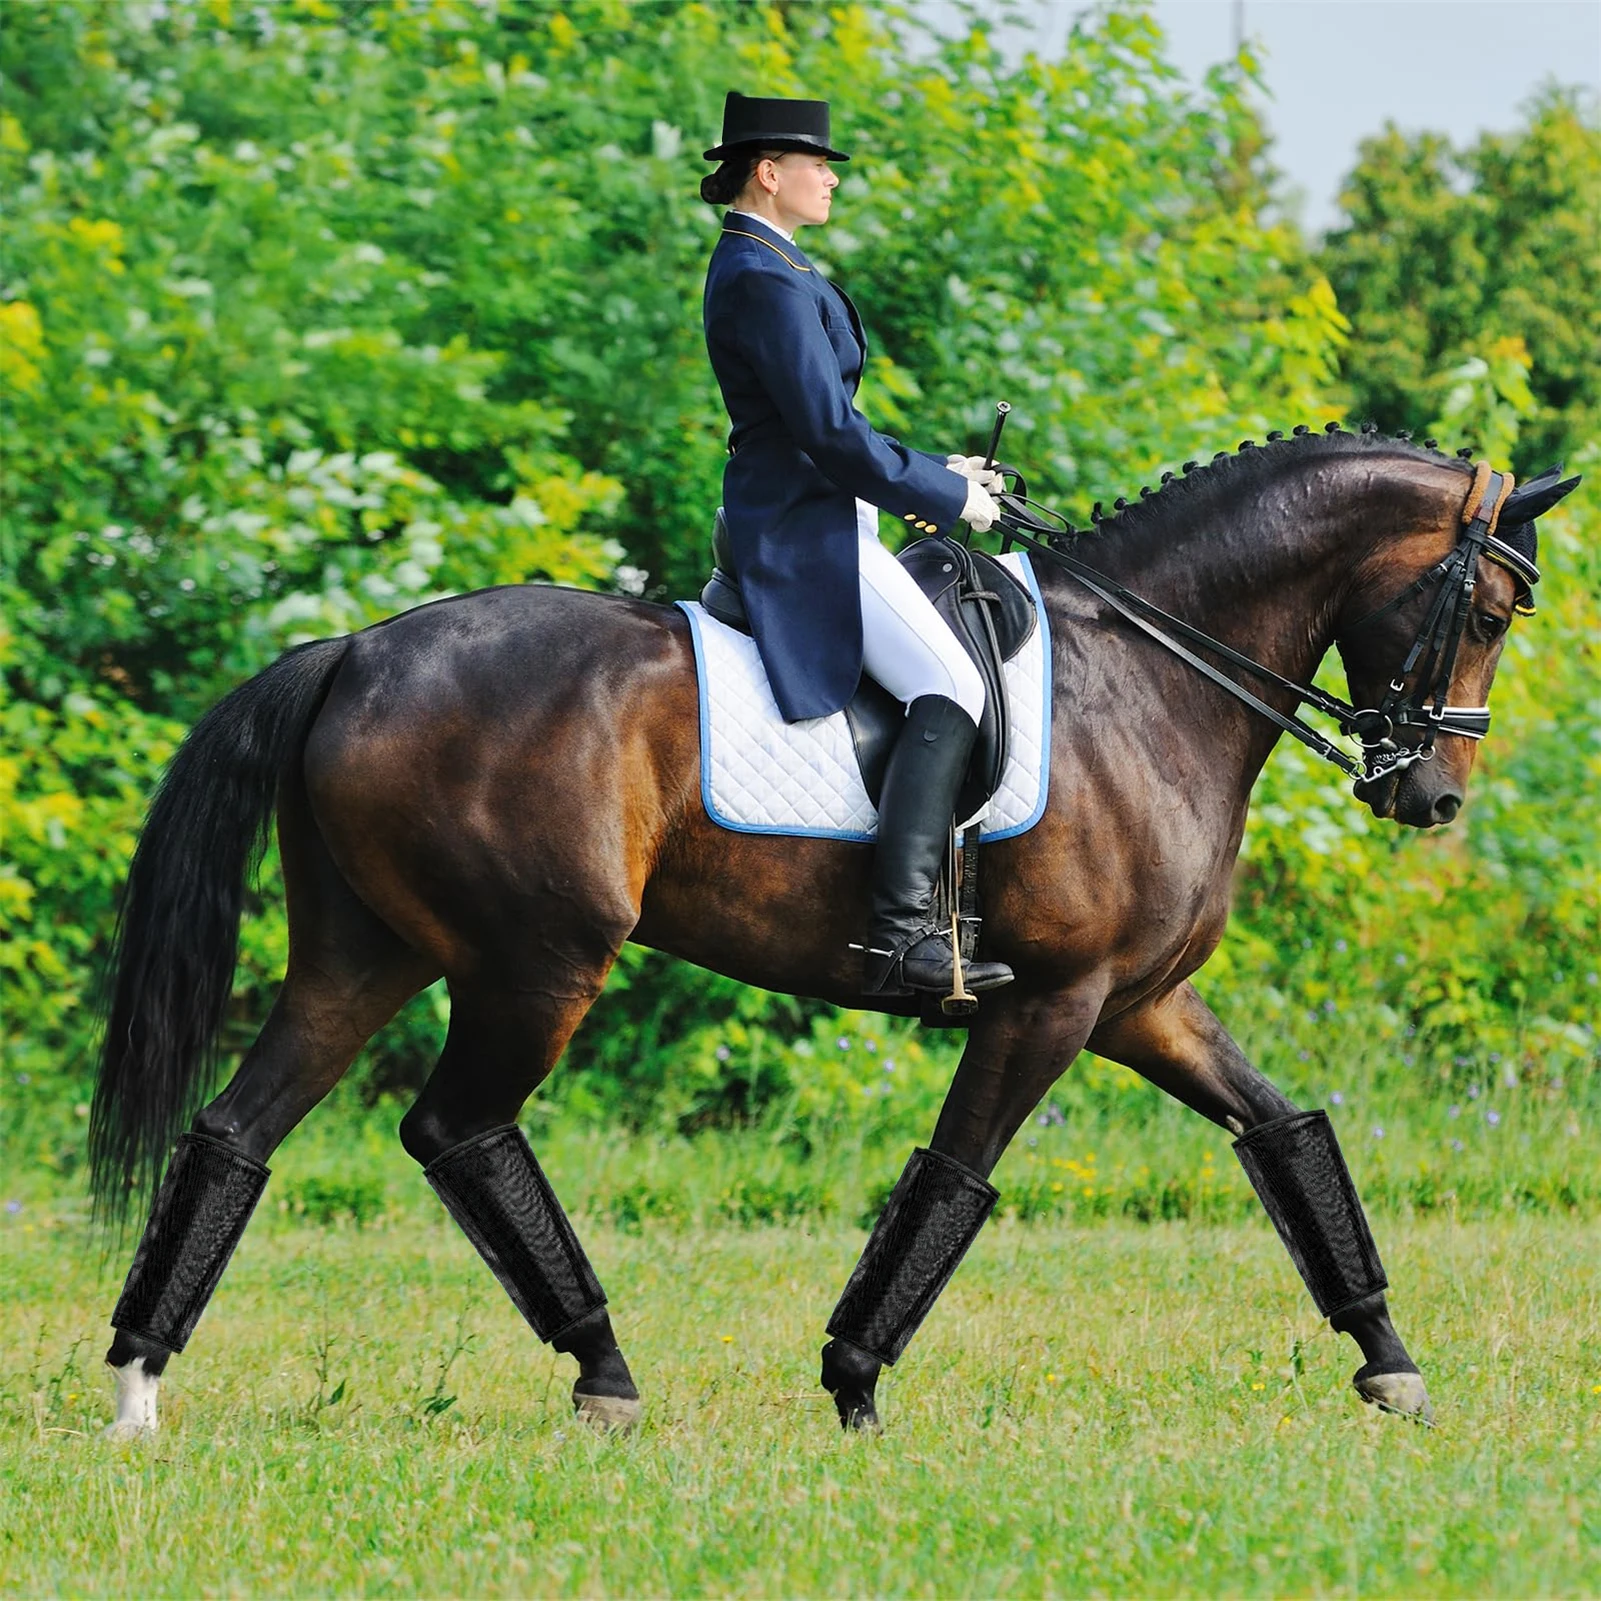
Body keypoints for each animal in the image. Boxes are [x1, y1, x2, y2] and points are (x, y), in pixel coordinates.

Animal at [89, 426, 1575, 1438]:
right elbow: (953, 1180)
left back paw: (138, 1381)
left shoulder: (1140, 1002)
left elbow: (1280, 1133)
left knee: (238, 1130)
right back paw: (603, 1370)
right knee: (455, 1129)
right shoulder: (1049, 1003)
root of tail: (355, 649)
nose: (1429, 795)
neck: (1148, 676)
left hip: (367, 955)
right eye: (1490, 608)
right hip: (535, 963)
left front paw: (1389, 1359)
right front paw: (853, 1380)